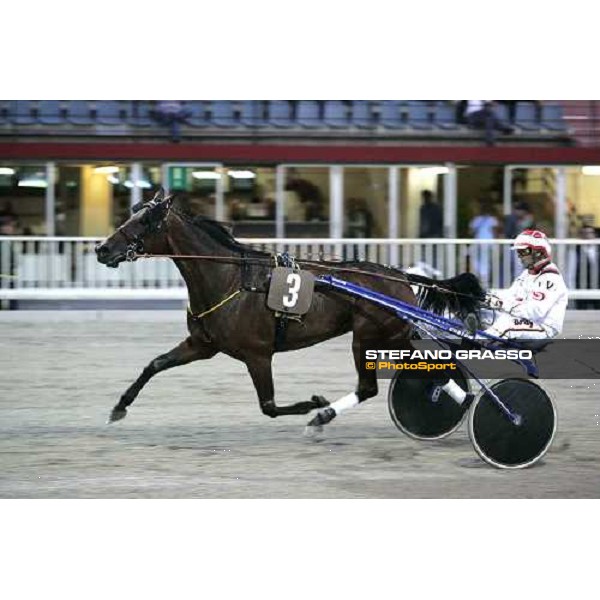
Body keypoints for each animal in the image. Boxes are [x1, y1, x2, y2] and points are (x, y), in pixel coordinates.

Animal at [97, 192, 482, 432]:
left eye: (144, 221)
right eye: (132, 213)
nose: (102, 249)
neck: (228, 277)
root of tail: (400, 276)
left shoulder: (257, 354)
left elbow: (268, 406)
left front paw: (313, 402)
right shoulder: (203, 344)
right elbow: (154, 364)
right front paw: (119, 407)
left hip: (371, 336)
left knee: (378, 383)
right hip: (388, 335)